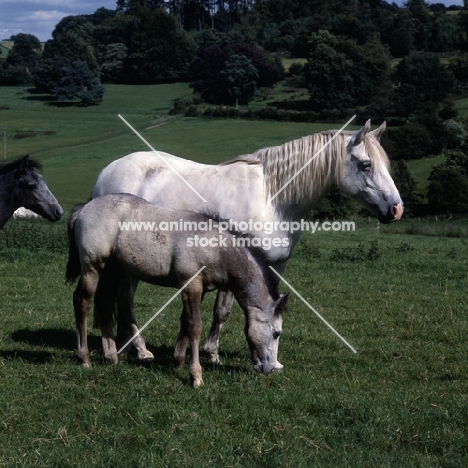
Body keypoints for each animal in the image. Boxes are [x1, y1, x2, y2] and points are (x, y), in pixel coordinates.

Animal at [64, 194, 288, 388]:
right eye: (276, 333)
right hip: (93, 268)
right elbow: (195, 326)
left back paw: (112, 357)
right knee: (81, 300)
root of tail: (85, 207)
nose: (270, 369)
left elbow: (185, 322)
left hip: (113, 270)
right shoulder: (191, 285)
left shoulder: (197, 290)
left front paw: (178, 362)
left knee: (105, 303)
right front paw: (196, 376)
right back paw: (84, 358)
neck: (214, 246)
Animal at [94, 119, 402, 362]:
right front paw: (213, 353)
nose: (396, 209)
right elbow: (223, 310)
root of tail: (107, 172)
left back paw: (129, 347)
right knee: (126, 299)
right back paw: (140, 350)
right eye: (366, 164)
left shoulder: (276, 267)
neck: (273, 200)